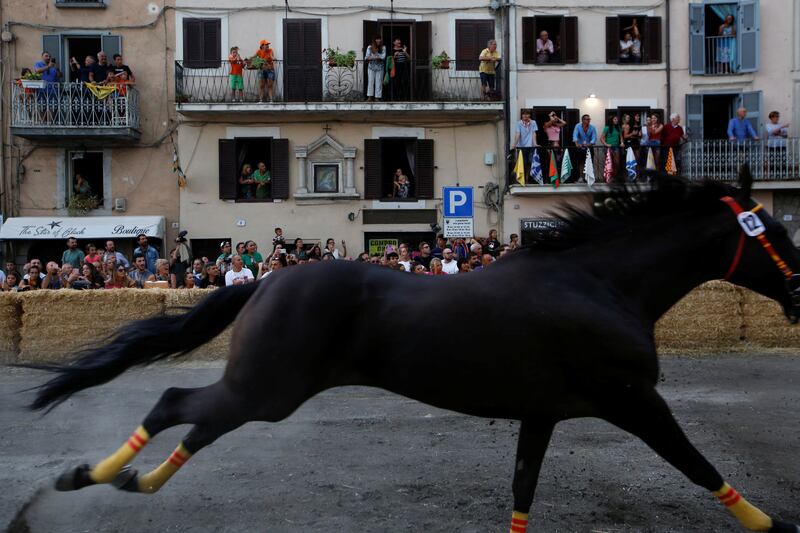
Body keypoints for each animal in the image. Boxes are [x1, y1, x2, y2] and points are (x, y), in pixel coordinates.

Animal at [25, 169, 800, 532]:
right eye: (778, 234)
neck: (600, 283)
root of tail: (267, 279)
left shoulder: (544, 412)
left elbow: (523, 490)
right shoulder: (633, 398)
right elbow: (700, 466)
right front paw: (775, 521)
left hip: (266, 391)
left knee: (201, 421)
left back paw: (122, 481)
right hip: (268, 387)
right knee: (174, 401)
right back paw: (86, 477)